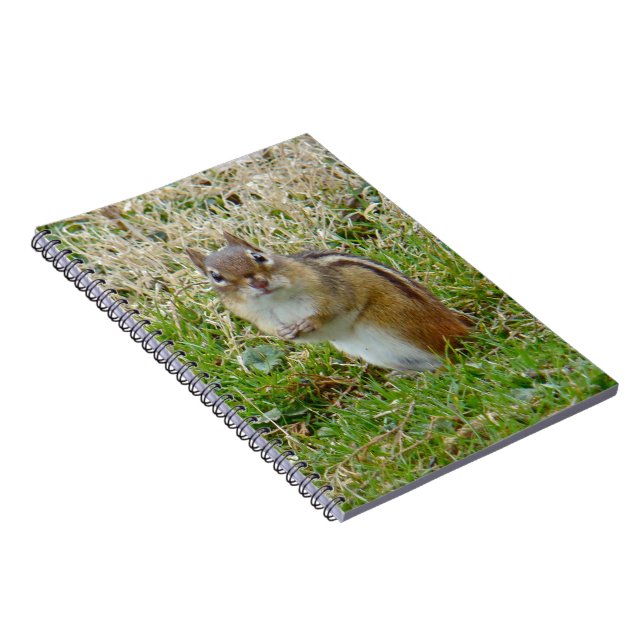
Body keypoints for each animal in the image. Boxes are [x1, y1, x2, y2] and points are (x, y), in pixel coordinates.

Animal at [186, 232, 471, 371]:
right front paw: (286, 333)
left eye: (257, 255)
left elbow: (334, 308)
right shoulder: (262, 320)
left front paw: (312, 321)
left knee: (449, 358)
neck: (276, 301)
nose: (259, 283)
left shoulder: (333, 290)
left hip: (392, 323)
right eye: (216, 277)